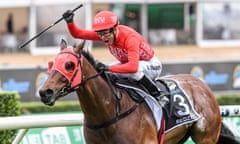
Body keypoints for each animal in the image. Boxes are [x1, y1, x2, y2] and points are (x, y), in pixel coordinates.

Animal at [39, 39, 238, 144]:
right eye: (52, 63)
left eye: (69, 65)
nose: (44, 92)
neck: (108, 113)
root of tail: (202, 85)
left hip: (206, 137)